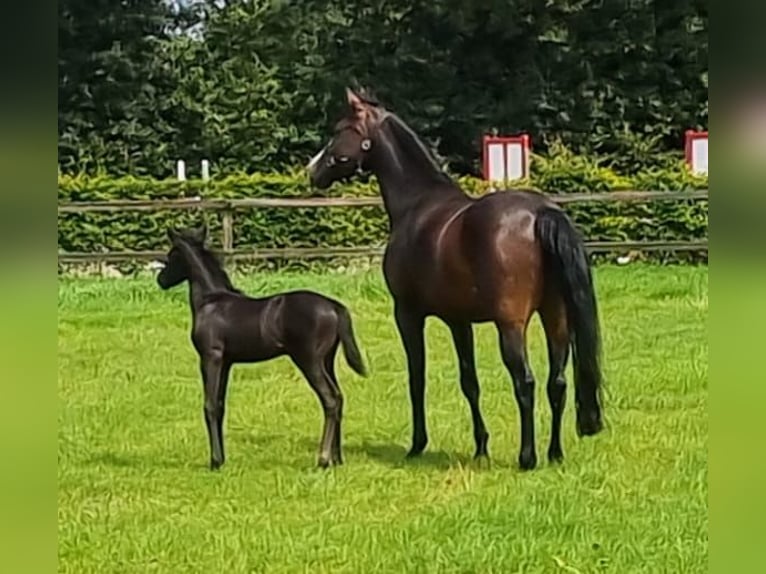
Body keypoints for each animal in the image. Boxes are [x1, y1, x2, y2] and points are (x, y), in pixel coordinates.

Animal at [155, 227, 366, 470]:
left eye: (172, 255)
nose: (160, 280)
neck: (210, 302)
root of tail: (334, 306)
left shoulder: (211, 357)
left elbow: (210, 406)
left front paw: (215, 462)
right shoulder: (227, 362)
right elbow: (220, 405)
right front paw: (222, 459)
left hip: (309, 360)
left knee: (330, 399)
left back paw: (322, 460)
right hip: (327, 360)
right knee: (339, 397)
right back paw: (337, 459)